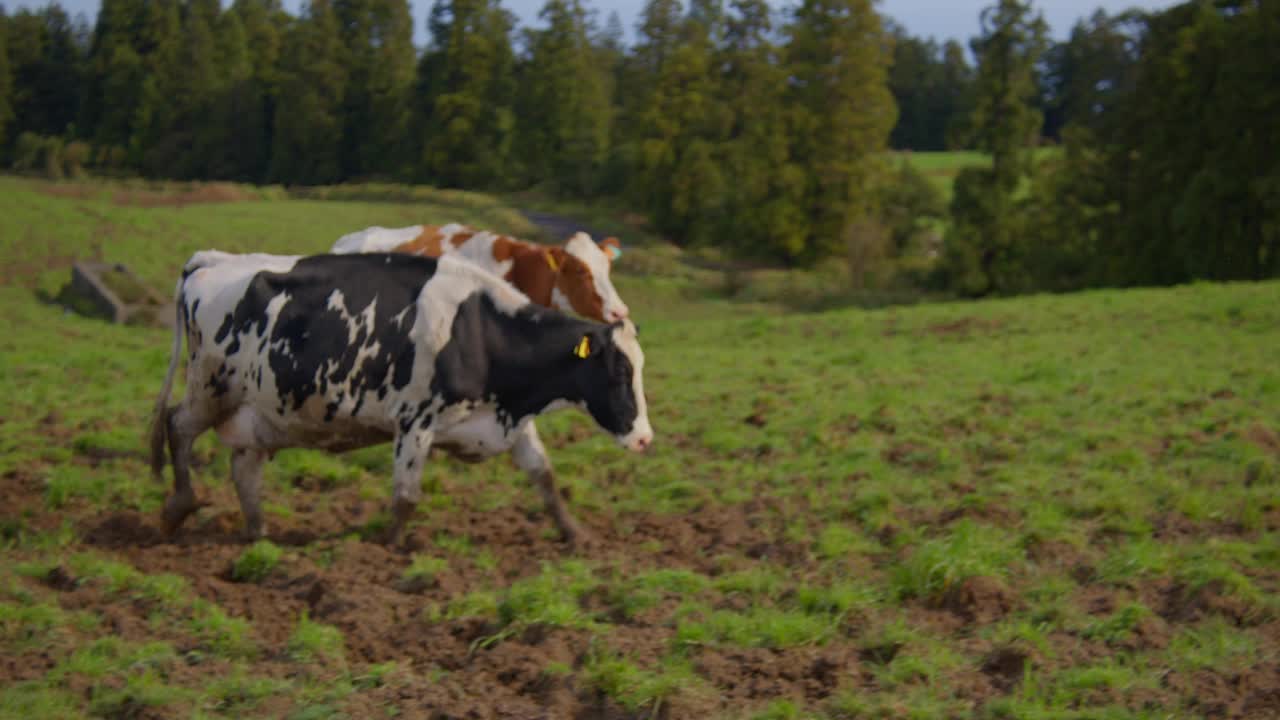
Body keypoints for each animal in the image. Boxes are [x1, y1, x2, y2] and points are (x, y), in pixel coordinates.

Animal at [148, 249, 650, 540]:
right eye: (618, 373)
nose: (645, 438)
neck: (481, 331)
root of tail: (212, 260)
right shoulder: (415, 421)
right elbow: (406, 496)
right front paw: (388, 549)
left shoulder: (510, 422)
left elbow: (545, 477)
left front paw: (576, 535)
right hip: (212, 385)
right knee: (177, 426)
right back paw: (180, 506)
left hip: (260, 411)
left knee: (244, 469)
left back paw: (258, 534)